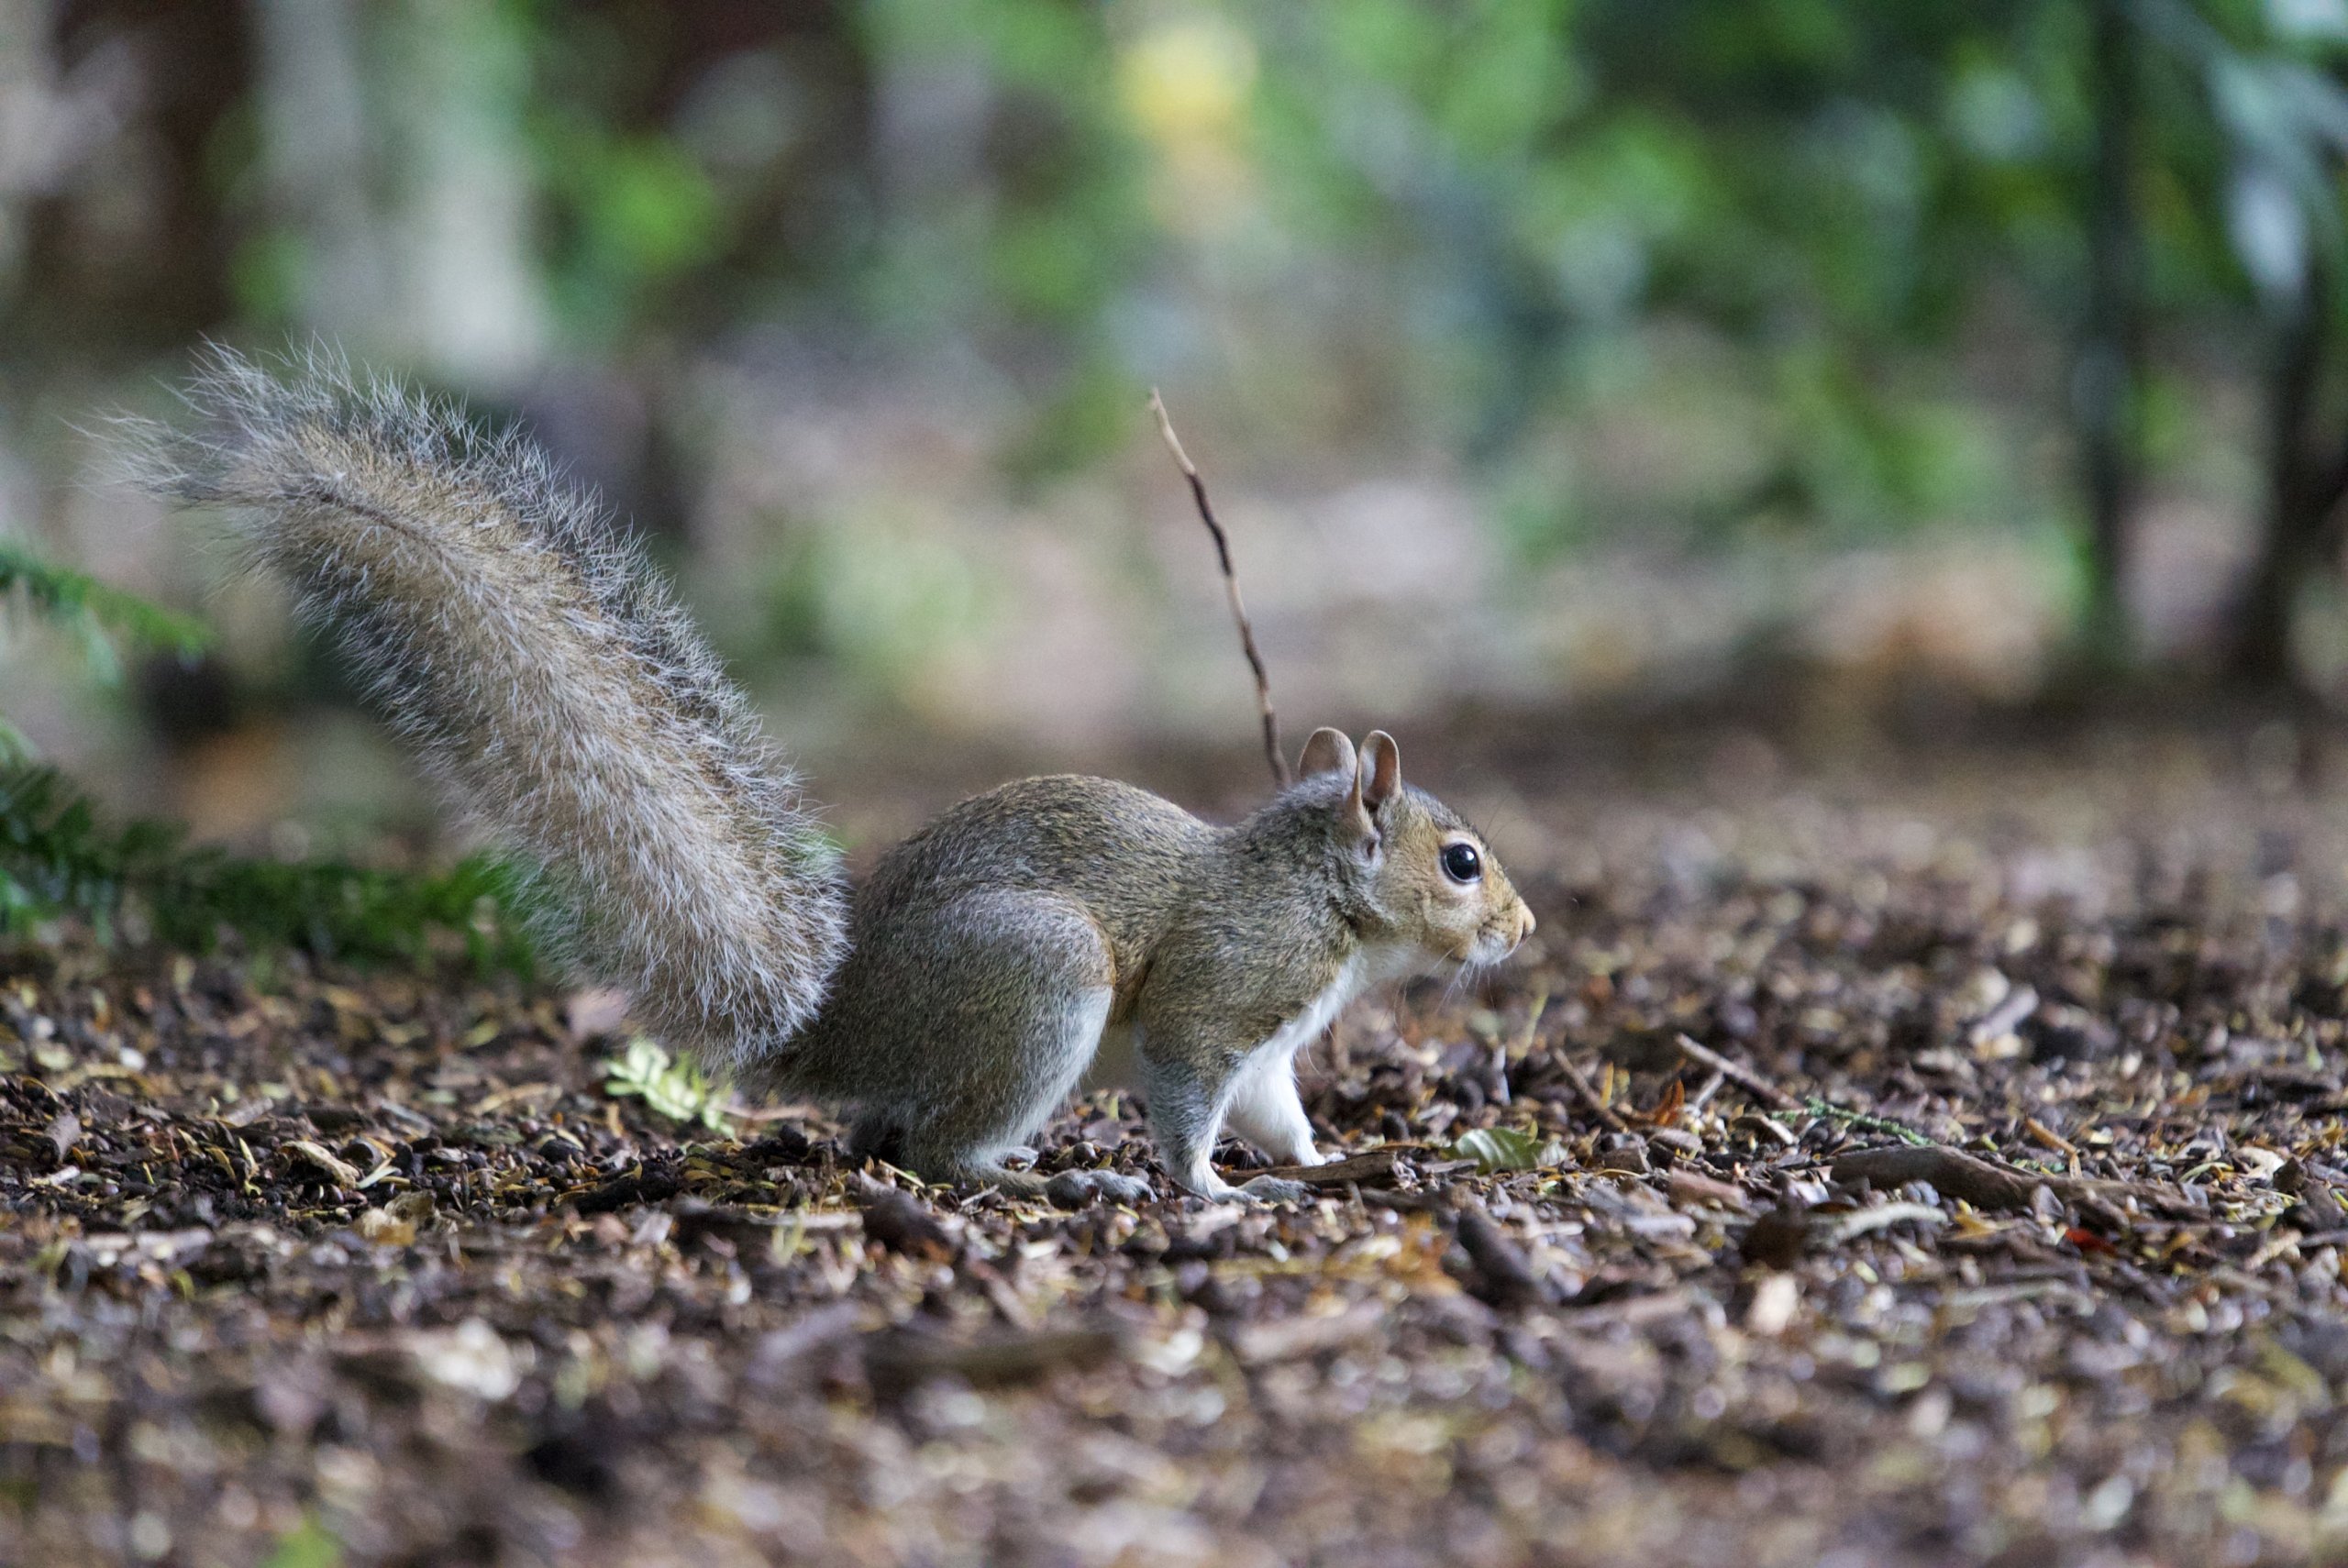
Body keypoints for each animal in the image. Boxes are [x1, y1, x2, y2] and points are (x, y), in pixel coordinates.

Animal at [128, 350, 1535, 1205]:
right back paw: (1040, 1175)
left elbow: (1278, 1110)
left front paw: (1325, 1159)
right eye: (1461, 861)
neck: (1322, 897)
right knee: (937, 1148)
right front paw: (1205, 1191)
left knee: (888, 1135)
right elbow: (1192, 1096)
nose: (1524, 928)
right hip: (1038, 977)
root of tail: (835, 1027)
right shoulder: (1221, 995)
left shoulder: (1273, 1049)